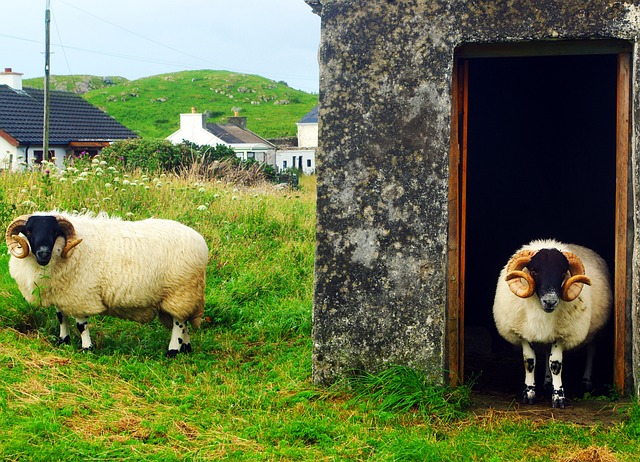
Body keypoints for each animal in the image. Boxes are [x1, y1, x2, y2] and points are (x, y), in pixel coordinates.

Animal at [5, 211, 210, 356]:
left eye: (55, 231)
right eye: (29, 231)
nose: (43, 253)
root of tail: (201, 242)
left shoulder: (81, 295)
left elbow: (81, 326)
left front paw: (87, 348)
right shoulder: (62, 293)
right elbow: (61, 317)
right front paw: (63, 340)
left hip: (181, 291)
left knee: (179, 323)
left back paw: (173, 350)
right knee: (185, 321)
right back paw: (186, 348)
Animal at [492, 238, 612, 408]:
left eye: (563, 272)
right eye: (534, 271)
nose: (550, 301)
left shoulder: (563, 334)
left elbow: (555, 364)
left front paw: (558, 397)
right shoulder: (524, 332)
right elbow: (529, 361)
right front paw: (529, 393)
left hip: (595, 330)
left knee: (591, 351)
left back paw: (586, 381)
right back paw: (547, 383)